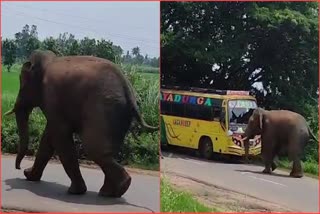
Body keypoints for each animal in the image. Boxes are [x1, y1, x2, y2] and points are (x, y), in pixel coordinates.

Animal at [4, 49, 158, 197]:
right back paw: (109, 192)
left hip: (103, 110)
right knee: (106, 152)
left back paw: (114, 189)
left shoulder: (51, 95)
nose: (18, 168)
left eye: (22, 84)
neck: (48, 60)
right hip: (117, 115)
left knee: (94, 149)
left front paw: (75, 191)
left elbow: (60, 137)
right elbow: (49, 138)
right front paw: (29, 175)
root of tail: (129, 91)